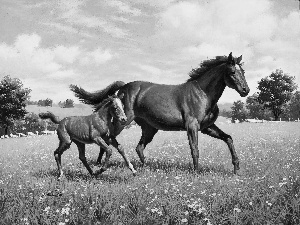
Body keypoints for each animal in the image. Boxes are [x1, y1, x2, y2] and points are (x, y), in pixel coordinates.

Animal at [69, 53, 248, 176]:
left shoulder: (207, 127)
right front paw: (196, 172)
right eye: (232, 72)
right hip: (123, 121)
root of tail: (124, 87)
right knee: (110, 137)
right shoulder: (192, 126)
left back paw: (145, 168)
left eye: (243, 71)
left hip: (149, 128)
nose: (246, 90)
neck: (202, 93)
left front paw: (237, 168)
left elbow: (228, 138)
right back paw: (100, 165)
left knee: (139, 147)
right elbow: (194, 149)